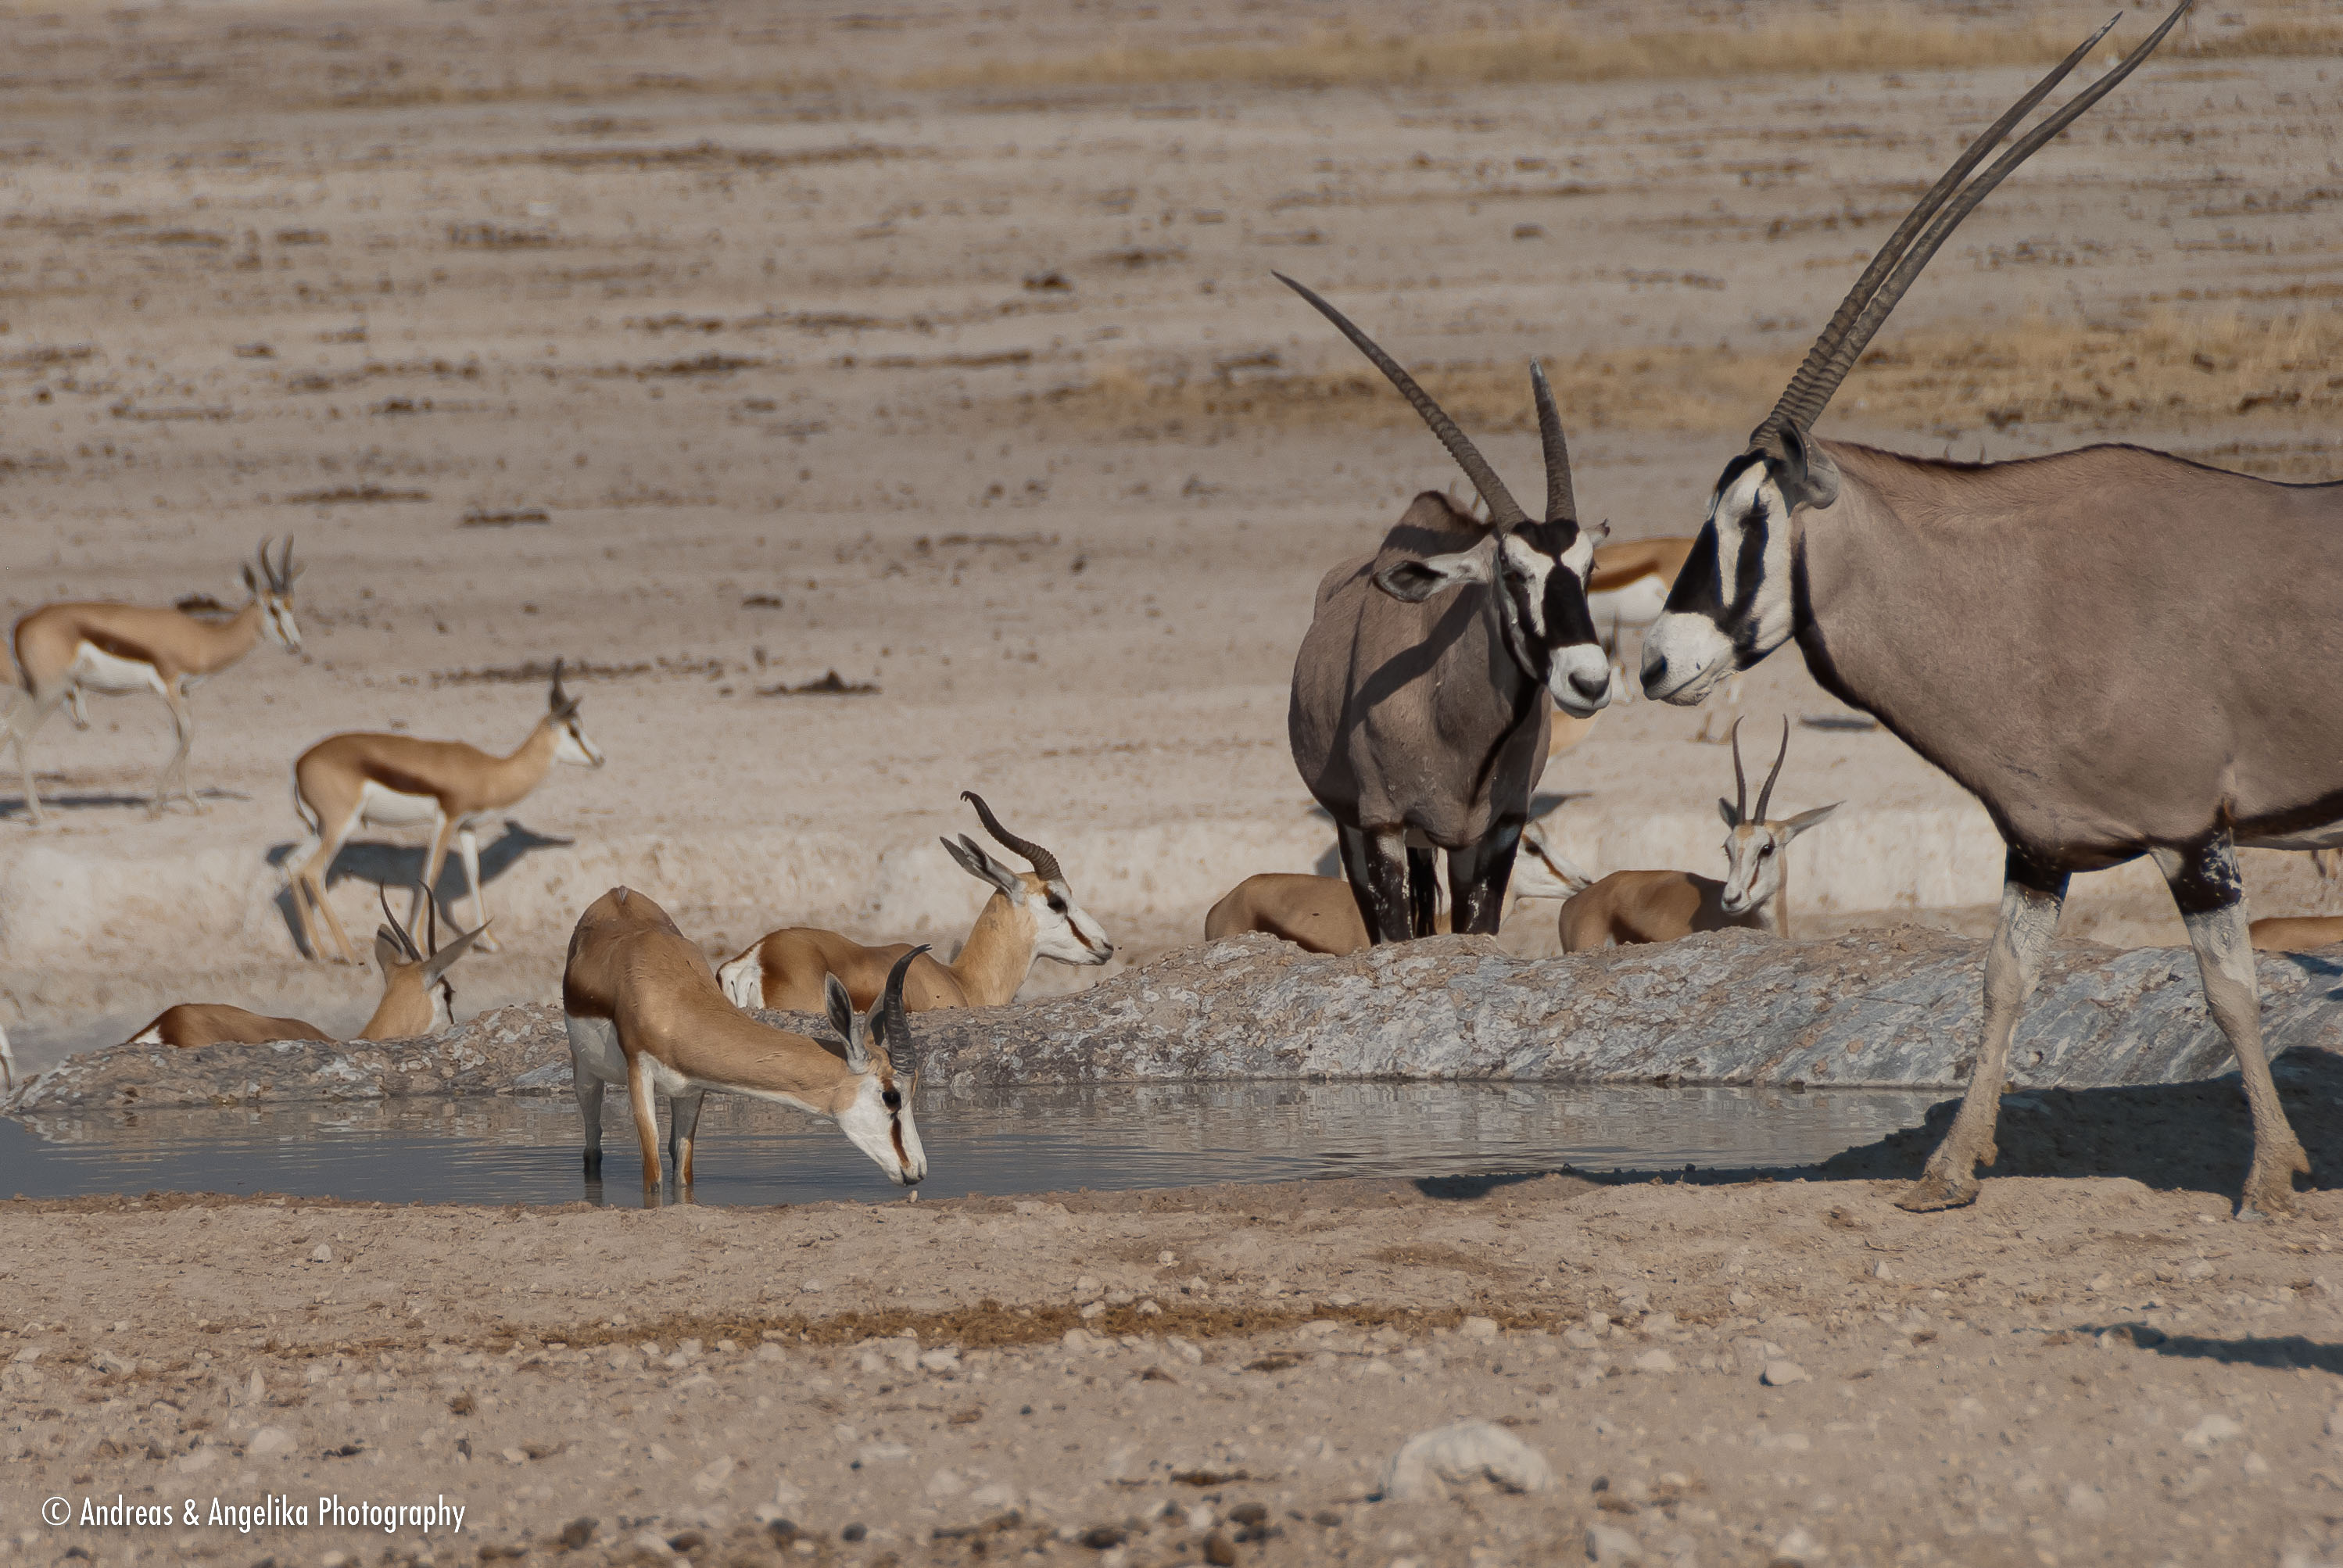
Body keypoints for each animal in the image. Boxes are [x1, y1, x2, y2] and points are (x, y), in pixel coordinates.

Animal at [4, 538, 303, 823]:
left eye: (292, 605)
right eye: (273, 608)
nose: (296, 645)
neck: (203, 639)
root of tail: (21, 625)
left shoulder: (183, 691)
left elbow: (184, 735)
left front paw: (195, 804)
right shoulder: (169, 688)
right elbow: (189, 733)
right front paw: (155, 806)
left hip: (33, 690)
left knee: (6, 725)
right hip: (50, 692)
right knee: (19, 732)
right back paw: (38, 814)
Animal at [285, 660, 604, 965]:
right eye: (573, 730)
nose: (599, 758)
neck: (490, 773)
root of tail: (300, 764)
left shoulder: (466, 827)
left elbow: (473, 873)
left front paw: (490, 943)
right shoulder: (447, 820)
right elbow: (431, 871)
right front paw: (418, 944)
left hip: (319, 829)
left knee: (292, 864)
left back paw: (317, 950)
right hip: (342, 825)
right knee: (312, 871)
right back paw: (348, 953)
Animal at [564, 885, 927, 1192]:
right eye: (892, 1096)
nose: (918, 1170)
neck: (674, 1000)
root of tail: (619, 892)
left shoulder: (692, 1089)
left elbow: (683, 1173)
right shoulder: (639, 1074)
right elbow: (652, 1177)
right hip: (586, 1075)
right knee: (593, 1145)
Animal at [1280, 273, 1612, 944]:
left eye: (1588, 568)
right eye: (1511, 572)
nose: (1588, 681)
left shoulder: (1495, 829)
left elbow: (1473, 930)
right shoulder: (1380, 825)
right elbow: (1396, 935)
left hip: (1436, 843)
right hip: (1359, 828)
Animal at [1635, 7, 2331, 1216]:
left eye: (1752, 518)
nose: (1656, 661)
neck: (2020, 587)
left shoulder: (2193, 834)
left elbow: (2231, 992)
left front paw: (2269, 1176)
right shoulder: (2037, 845)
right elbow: (2002, 977)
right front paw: (1948, 1170)